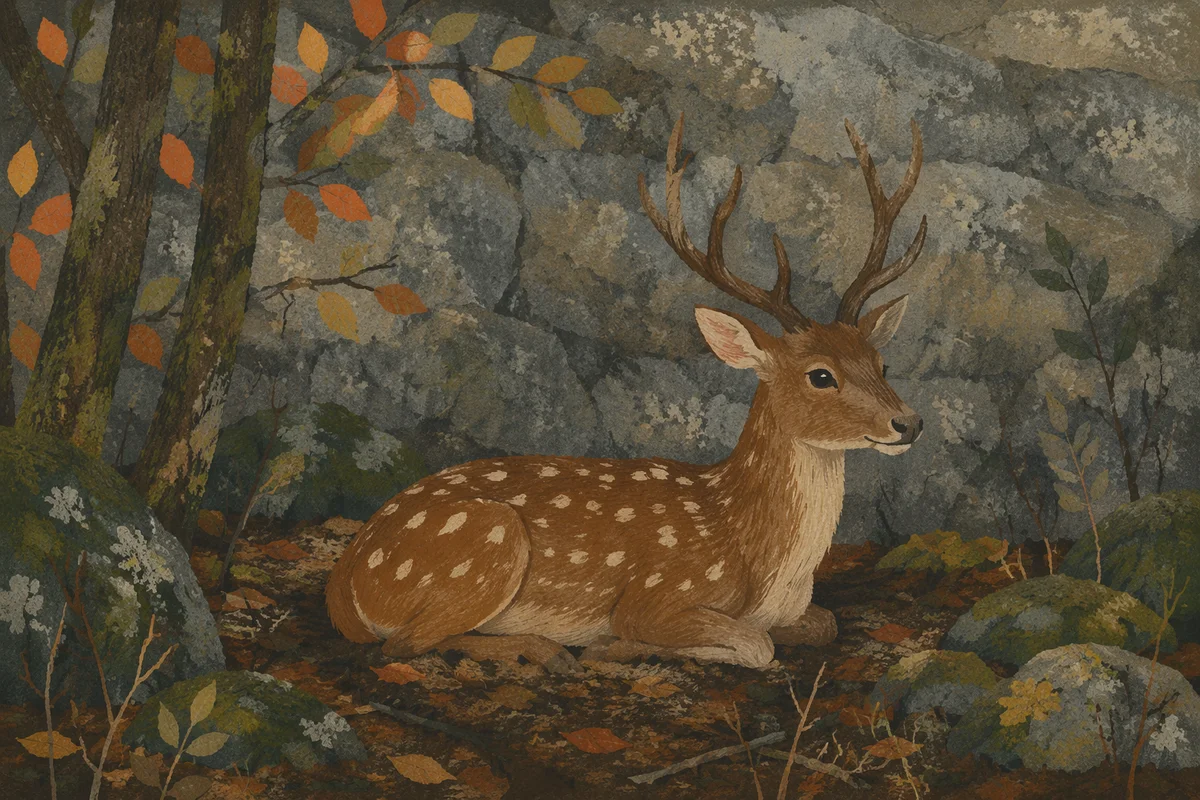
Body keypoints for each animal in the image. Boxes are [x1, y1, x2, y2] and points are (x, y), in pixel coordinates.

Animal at [326, 114, 927, 670]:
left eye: (882, 363)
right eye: (820, 375)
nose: (910, 422)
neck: (760, 557)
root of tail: (347, 575)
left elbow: (822, 624)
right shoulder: (658, 594)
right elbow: (756, 646)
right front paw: (612, 646)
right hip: (490, 542)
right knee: (402, 644)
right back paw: (545, 650)